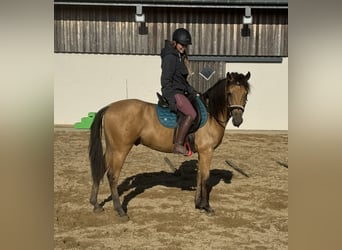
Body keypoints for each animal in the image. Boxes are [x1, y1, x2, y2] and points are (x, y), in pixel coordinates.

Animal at [89, 71, 251, 218]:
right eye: (229, 93)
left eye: (245, 94)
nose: (238, 120)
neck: (211, 113)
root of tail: (109, 107)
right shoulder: (207, 151)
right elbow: (205, 177)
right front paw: (206, 206)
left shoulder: (202, 153)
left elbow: (199, 176)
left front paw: (198, 204)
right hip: (121, 149)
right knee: (113, 176)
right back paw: (120, 210)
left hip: (112, 148)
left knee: (101, 169)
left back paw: (96, 204)